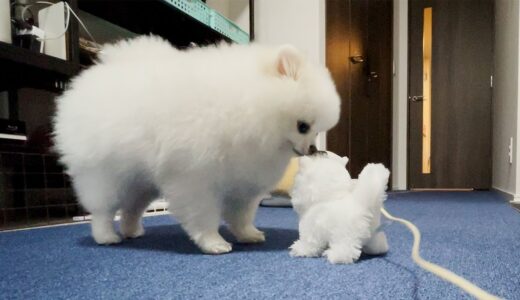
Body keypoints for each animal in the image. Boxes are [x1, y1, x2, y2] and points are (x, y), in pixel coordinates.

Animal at [53, 36, 342, 254]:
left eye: (316, 130)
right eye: (303, 126)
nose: (311, 149)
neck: (242, 108)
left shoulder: (242, 181)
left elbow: (241, 214)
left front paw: (247, 234)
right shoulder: (194, 179)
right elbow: (202, 215)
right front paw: (214, 243)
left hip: (141, 182)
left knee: (131, 209)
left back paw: (132, 230)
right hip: (105, 176)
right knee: (102, 209)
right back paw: (106, 236)